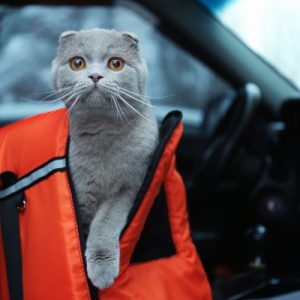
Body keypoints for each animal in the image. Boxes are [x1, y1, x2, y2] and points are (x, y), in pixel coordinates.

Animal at [51, 28, 159, 288]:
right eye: (77, 63)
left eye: (116, 64)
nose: (95, 75)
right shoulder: (80, 192)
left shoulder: (129, 186)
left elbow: (105, 221)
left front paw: (101, 268)